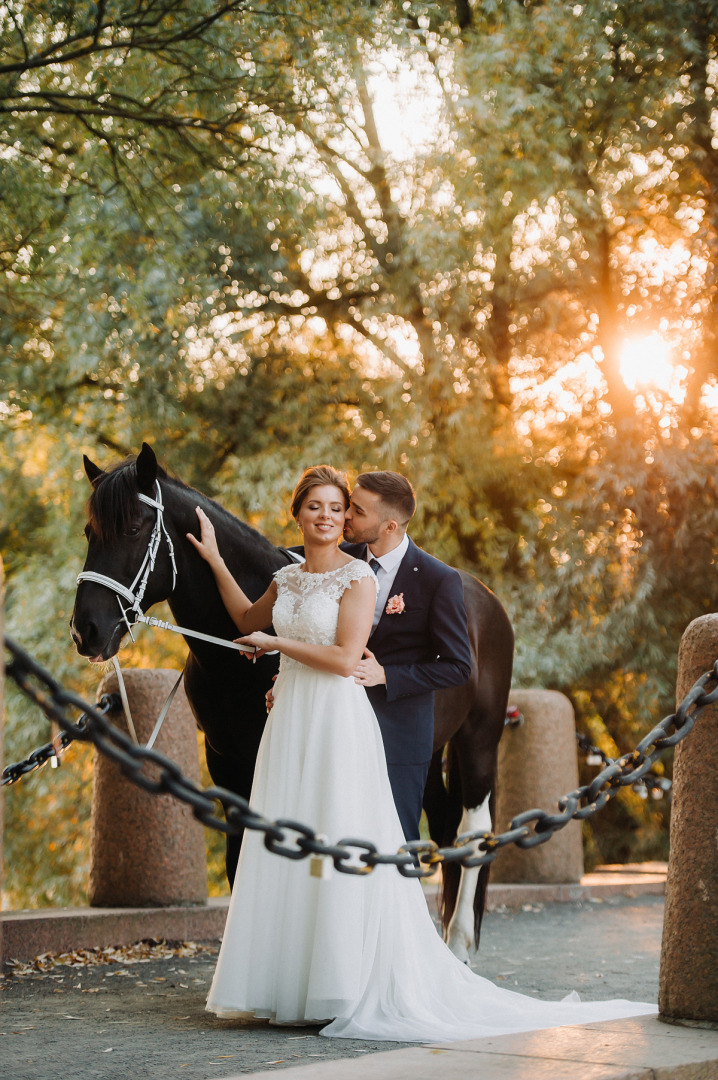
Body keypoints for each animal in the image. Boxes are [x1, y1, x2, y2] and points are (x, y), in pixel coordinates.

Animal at [70, 442, 511, 959]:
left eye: (134, 529)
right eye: (90, 532)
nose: (86, 630)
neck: (235, 657)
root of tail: (484, 599)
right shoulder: (227, 761)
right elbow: (239, 858)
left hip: (478, 741)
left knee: (472, 833)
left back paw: (457, 943)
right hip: (425, 749)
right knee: (439, 827)